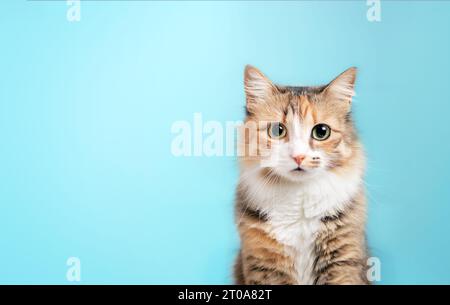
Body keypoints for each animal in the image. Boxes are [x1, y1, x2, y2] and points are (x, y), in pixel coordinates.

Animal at [232, 64, 370, 284]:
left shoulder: (342, 260)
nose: (298, 157)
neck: (299, 197)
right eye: (277, 130)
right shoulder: (266, 265)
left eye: (321, 132)